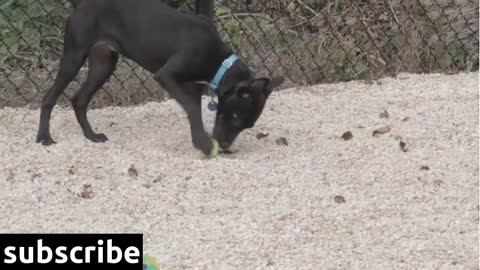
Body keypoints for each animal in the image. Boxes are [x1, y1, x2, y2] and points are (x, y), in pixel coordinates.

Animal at [38, 0, 284, 157]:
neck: (218, 61)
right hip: (74, 57)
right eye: (234, 117)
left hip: (103, 64)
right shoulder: (166, 76)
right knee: (49, 98)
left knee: (79, 100)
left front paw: (201, 142)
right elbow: (192, 109)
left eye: (246, 125)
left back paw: (91, 136)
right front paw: (204, 144)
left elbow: (194, 112)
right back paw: (44, 137)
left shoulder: (192, 88)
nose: (224, 146)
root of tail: (82, 5)